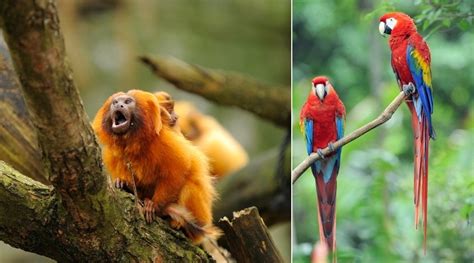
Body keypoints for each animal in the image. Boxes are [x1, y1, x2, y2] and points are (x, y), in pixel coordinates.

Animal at [92, 89, 220, 244]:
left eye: (127, 102)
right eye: (115, 102)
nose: (119, 105)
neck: (131, 142)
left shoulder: (163, 142)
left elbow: (179, 169)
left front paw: (154, 206)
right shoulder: (111, 153)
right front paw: (124, 183)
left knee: (191, 185)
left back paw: (178, 223)